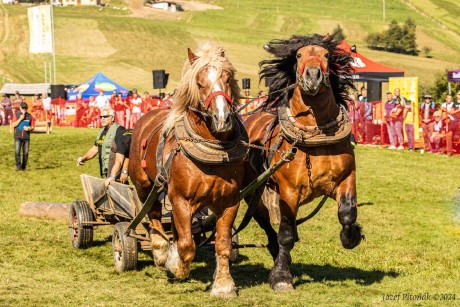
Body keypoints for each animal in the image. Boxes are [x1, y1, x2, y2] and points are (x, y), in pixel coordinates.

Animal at [127, 42, 246, 298]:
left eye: (227, 78)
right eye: (200, 83)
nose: (222, 119)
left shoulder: (230, 201)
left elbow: (223, 243)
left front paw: (223, 285)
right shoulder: (180, 198)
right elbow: (186, 246)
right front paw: (176, 264)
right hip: (146, 185)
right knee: (154, 217)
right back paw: (160, 253)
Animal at [243, 34, 364, 294]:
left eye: (326, 55)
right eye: (298, 55)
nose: (313, 75)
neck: (316, 135)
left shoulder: (346, 178)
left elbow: (348, 213)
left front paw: (351, 236)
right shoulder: (289, 191)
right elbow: (286, 233)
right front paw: (281, 276)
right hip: (251, 192)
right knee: (265, 221)